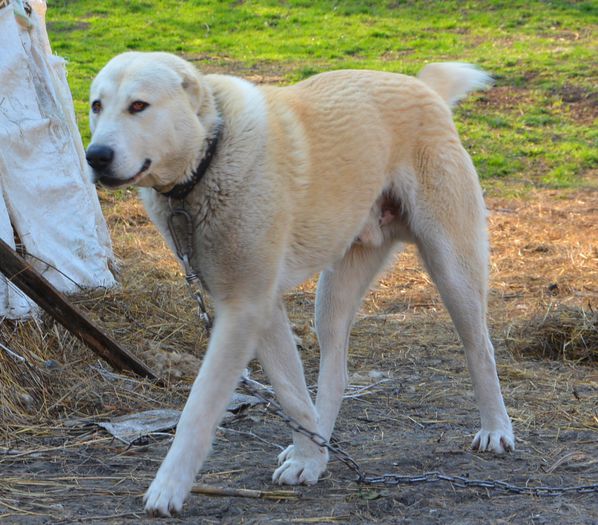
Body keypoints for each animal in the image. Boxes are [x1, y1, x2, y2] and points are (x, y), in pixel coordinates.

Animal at [88, 54, 516, 516]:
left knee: (480, 349)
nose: (95, 156)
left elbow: (199, 408)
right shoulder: (261, 309)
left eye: (138, 106)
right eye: (96, 106)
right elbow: (292, 392)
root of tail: (424, 88)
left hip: (452, 271)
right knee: (335, 374)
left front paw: (168, 487)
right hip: (331, 299)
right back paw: (322, 442)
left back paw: (496, 429)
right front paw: (310, 459)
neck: (210, 154)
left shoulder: (243, 310)